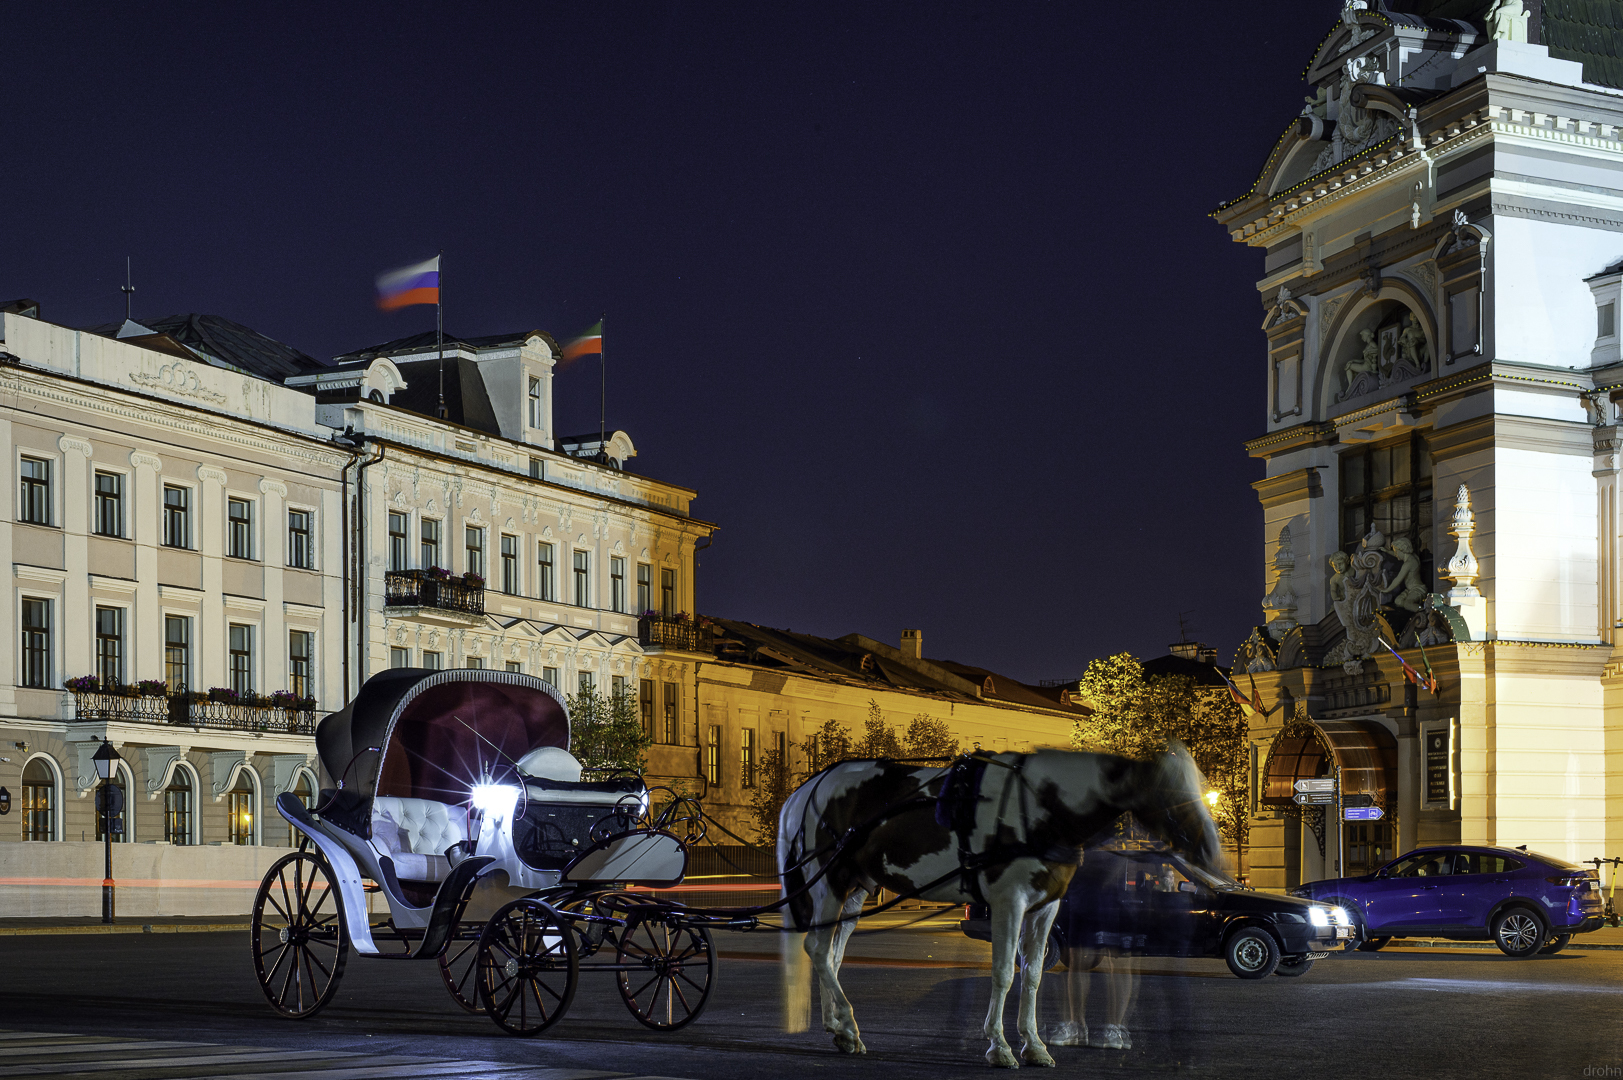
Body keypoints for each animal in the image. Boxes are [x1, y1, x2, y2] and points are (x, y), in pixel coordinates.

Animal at [772, 747, 1220, 1065]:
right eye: (1168, 791)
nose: (1211, 849)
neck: (1041, 806)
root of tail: (807, 787)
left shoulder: (1045, 907)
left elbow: (1034, 975)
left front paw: (1034, 1045)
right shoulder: (1010, 902)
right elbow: (1004, 973)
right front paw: (999, 1046)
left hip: (855, 888)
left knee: (832, 954)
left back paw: (839, 1026)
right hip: (828, 882)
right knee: (817, 949)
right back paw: (848, 1025)